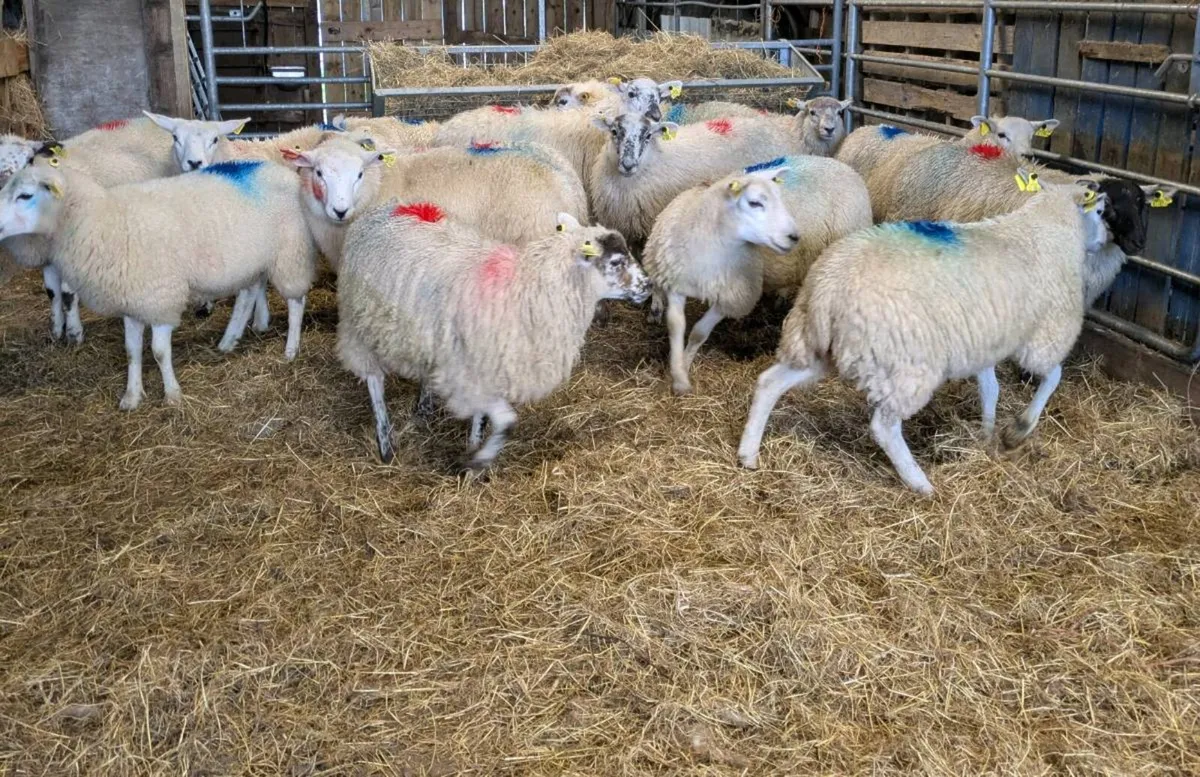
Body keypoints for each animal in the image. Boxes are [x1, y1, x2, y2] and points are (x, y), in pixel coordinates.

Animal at [0, 158, 318, 410]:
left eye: (25, 195)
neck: (107, 221)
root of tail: (279, 169)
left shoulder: (160, 299)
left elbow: (159, 351)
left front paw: (172, 395)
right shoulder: (132, 300)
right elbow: (131, 351)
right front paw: (131, 397)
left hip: (291, 252)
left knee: (295, 301)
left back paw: (291, 349)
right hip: (250, 261)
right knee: (248, 294)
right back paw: (229, 340)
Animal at [336, 207, 652, 469]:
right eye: (617, 261)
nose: (649, 286)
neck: (530, 289)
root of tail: (380, 210)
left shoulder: (489, 367)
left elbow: (482, 418)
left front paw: (474, 449)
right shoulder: (467, 374)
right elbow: (507, 421)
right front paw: (477, 461)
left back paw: (423, 407)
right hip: (359, 324)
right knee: (374, 380)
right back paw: (385, 443)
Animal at [645, 155, 872, 393]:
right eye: (754, 203)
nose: (794, 236)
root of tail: (841, 165)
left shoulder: (732, 297)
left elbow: (699, 332)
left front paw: (686, 363)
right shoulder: (676, 283)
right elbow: (676, 326)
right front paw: (677, 372)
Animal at [736, 176, 1110, 495]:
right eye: (1101, 211)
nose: (1105, 239)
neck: (1046, 227)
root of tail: (826, 286)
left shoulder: (984, 340)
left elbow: (990, 389)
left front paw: (987, 433)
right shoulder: (1045, 335)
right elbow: (1053, 377)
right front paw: (1018, 430)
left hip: (821, 346)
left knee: (769, 382)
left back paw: (748, 453)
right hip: (904, 364)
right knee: (884, 427)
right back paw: (920, 483)